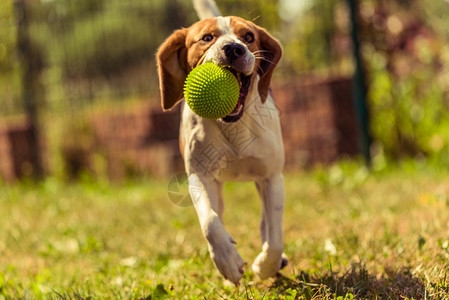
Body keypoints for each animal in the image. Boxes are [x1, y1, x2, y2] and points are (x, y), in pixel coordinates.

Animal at [156, 0, 286, 286]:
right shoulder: (200, 176)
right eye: (206, 38)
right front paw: (228, 260)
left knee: (267, 224)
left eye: (248, 37)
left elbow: (275, 237)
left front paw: (266, 266)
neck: (232, 125)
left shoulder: (272, 177)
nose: (234, 49)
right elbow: (210, 222)